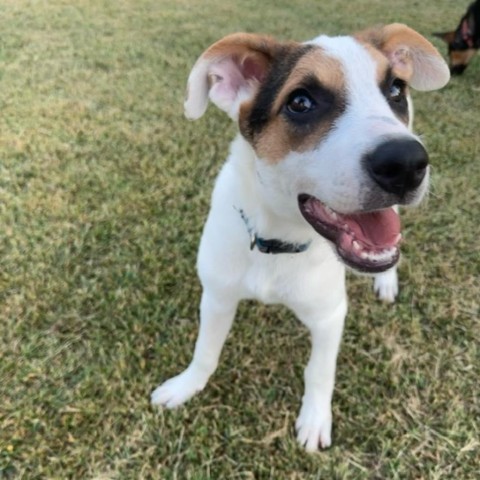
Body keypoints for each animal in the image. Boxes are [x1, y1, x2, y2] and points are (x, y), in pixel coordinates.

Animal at [154, 23, 450, 450]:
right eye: (300, 102)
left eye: (395, 89)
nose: (408, 163)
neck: (276, 243)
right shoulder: (217, 296)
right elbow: (205, 350)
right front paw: (186, 386)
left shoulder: (329, 316)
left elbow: (319, 372)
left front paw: (314, 420)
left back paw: (386, 280)